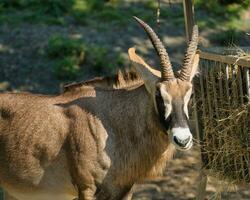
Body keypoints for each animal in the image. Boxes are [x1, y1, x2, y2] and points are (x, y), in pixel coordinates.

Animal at [0, 17, 199, 200]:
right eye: (159, 94)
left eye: (190, 94)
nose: (183, 139)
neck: (112, 124)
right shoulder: (86, 189)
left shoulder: (125, 190)